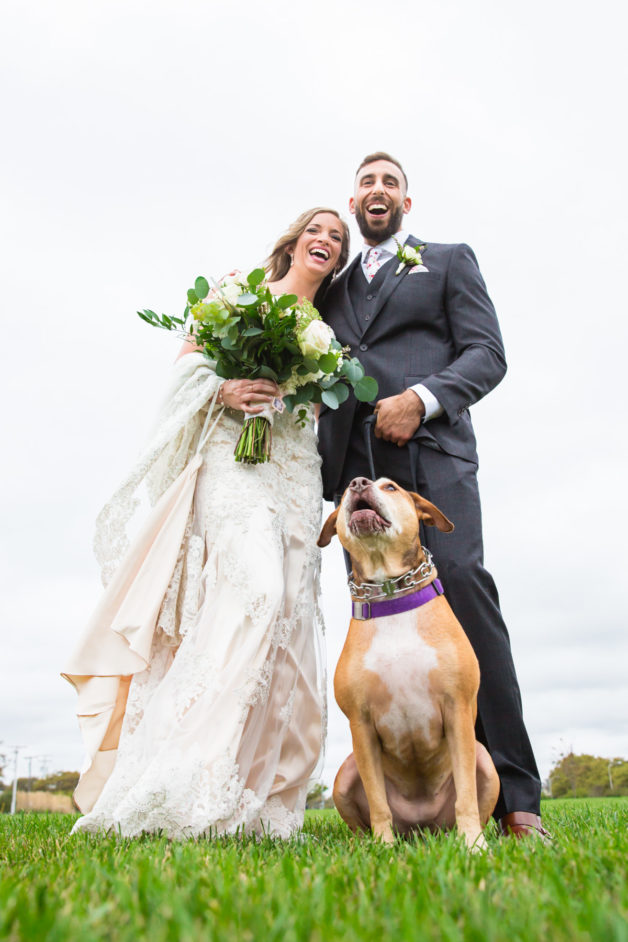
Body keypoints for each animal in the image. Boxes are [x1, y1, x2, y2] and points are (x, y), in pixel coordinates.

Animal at [318, 476, 500, 852]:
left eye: (391, 487)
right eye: (343, 494)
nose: (358, 482)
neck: (391, 595)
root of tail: (421, 828)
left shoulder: (457, 709)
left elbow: (466, 793)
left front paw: (474, 845)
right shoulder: (361, 724)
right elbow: (378, 802)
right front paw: (384, 848)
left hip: (485, 762)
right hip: (345, 773)